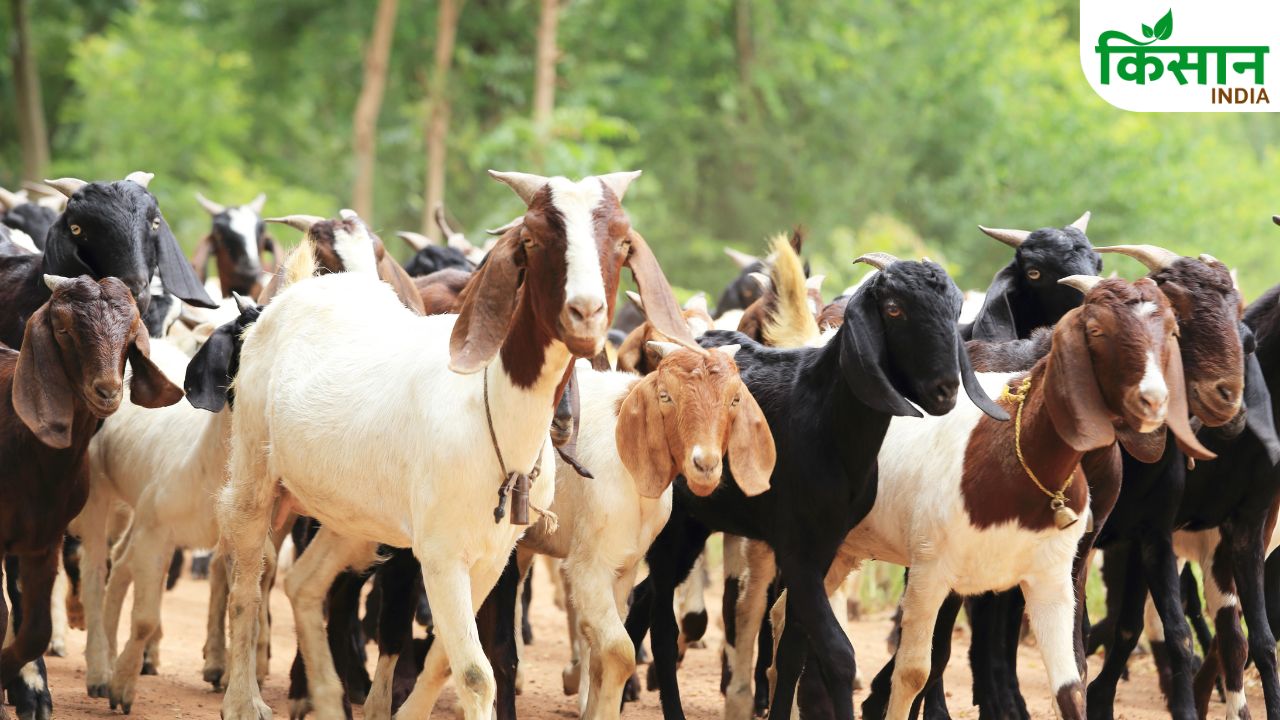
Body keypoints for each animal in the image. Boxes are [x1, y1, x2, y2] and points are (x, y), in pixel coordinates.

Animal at [216, 171, 696, 720]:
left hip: (352, 515)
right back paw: (244, 699)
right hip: (254, 472)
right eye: (533, 238)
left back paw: (328, 699)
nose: (586, 313)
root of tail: (295, 291)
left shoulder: (492, 557)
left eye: (620, 242)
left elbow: (448, 657)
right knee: (247, 583)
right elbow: (473, 671)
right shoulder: (441, 554)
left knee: (305, 584)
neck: (493, 415)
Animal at [625, 252, 1007, 720]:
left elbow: (794, 648)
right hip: (672, 525)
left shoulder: (826, 545)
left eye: (955, 310)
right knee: (662, 626)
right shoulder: (796, 547)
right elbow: (837, 653)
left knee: (643, 601)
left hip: (698, 523)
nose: (945, 390)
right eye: (894, 309)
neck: (825, 419)